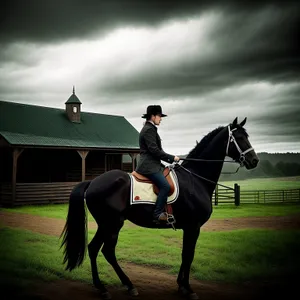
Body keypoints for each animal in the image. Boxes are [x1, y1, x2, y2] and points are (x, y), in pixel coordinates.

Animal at [60, 117, 258, 300]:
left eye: (247, 136)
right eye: (240, 138)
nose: (254, 160)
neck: (195, 180)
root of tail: (93, 182)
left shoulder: (189, 228)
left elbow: (185, 254)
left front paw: (181, 285)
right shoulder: (193, 227)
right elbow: (189, 255)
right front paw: (189, 289)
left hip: (107, 225)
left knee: (96, 249)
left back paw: (111, 286)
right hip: (111, 224)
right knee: (104, 251)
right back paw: (117, 287)